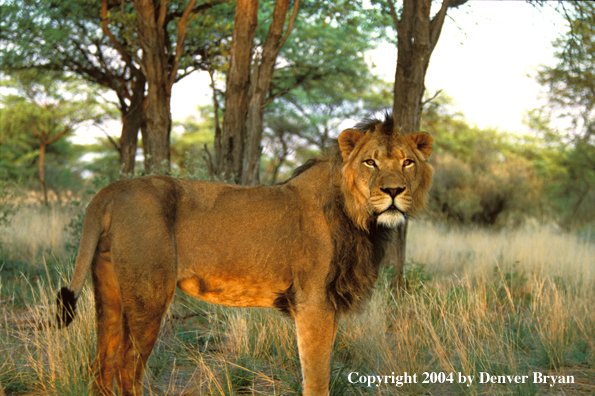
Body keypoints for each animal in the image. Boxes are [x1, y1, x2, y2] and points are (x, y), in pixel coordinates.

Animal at [56, 113, 434, 392]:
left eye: (407, 163)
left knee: (101, 364)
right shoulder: (313, 301)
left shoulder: (328, 303)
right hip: (148, 295)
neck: (361, 220)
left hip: (110, 290)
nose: (394, 191)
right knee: (127, 368)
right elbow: (317, 379)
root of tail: (111, 190)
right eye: (370, 162)